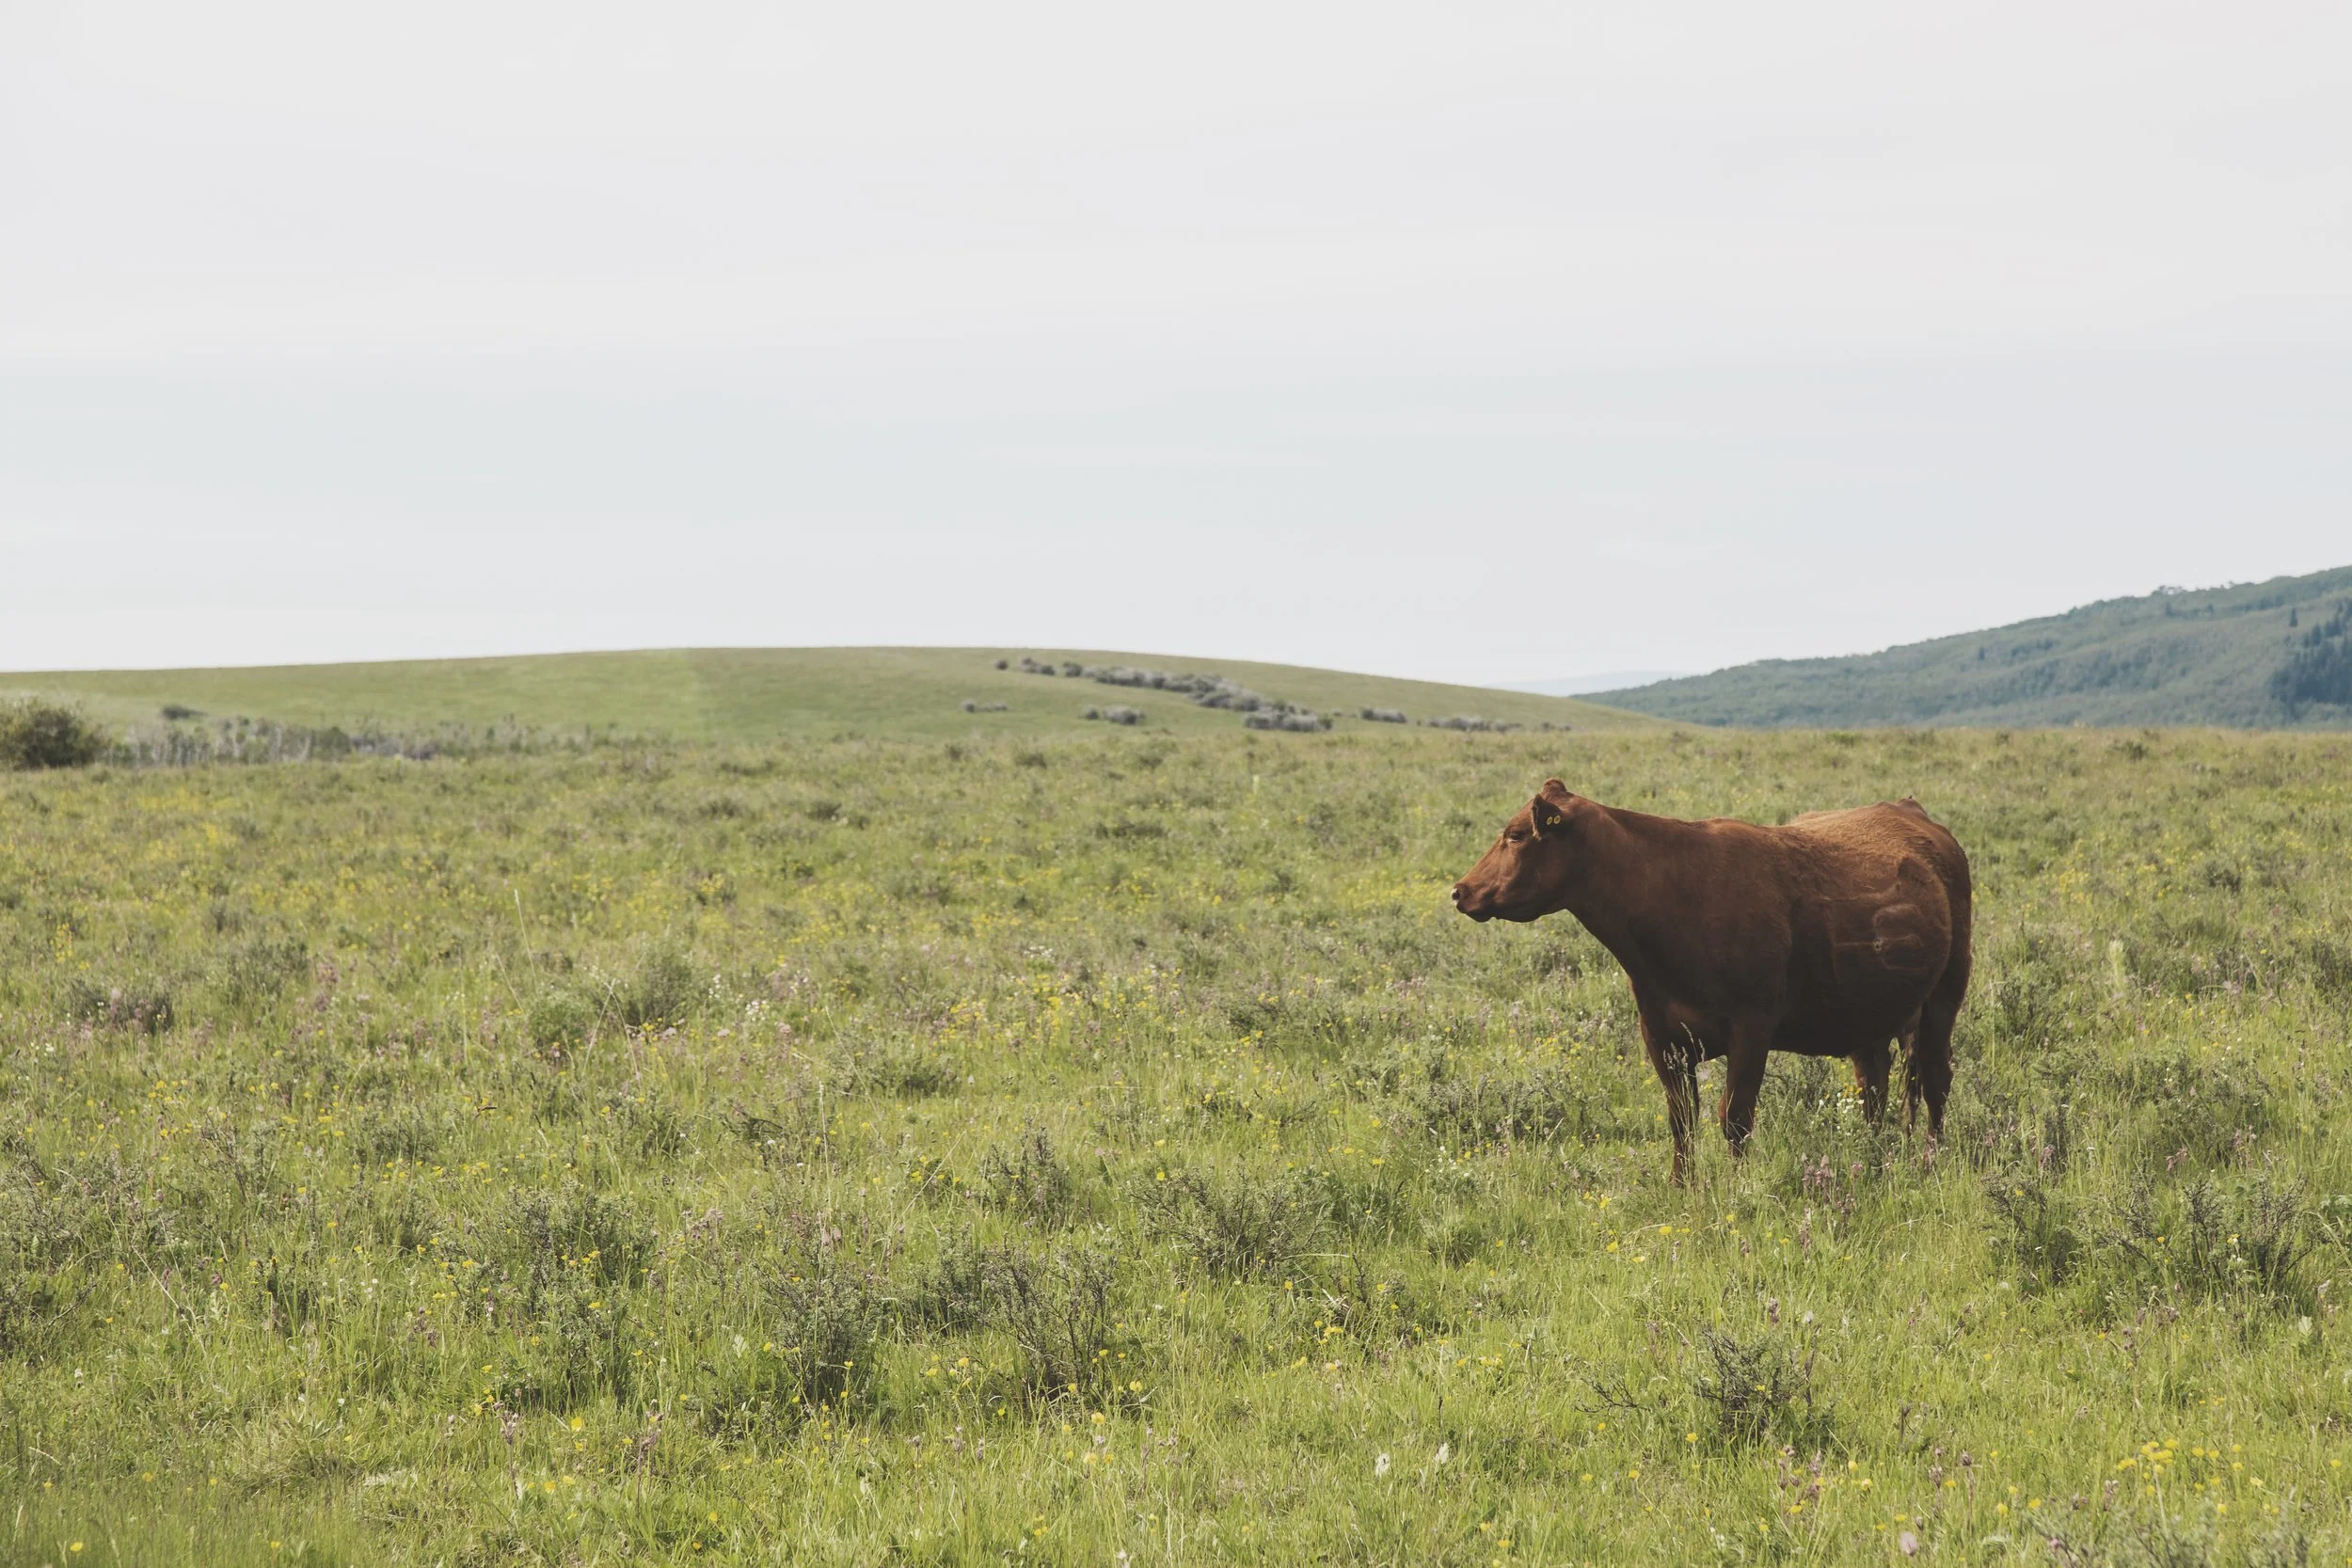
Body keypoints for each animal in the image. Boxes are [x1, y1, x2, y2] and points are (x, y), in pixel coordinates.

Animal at [1450, 779, 1971, 1181]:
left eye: (1515, 835)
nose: (1460, 890)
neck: (1675, 900)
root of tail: (1910, 810)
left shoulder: (1753, 1025)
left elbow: (1734, 1116)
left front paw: (1737, 1189)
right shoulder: (1660, 1034)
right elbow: (1682, 1119)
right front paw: (1682, 1188)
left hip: (1946, 993)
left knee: (1935, 1077)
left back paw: (1932, 1159)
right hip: (1869, 1012)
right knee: (1875, 1085)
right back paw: (1875, 1154)